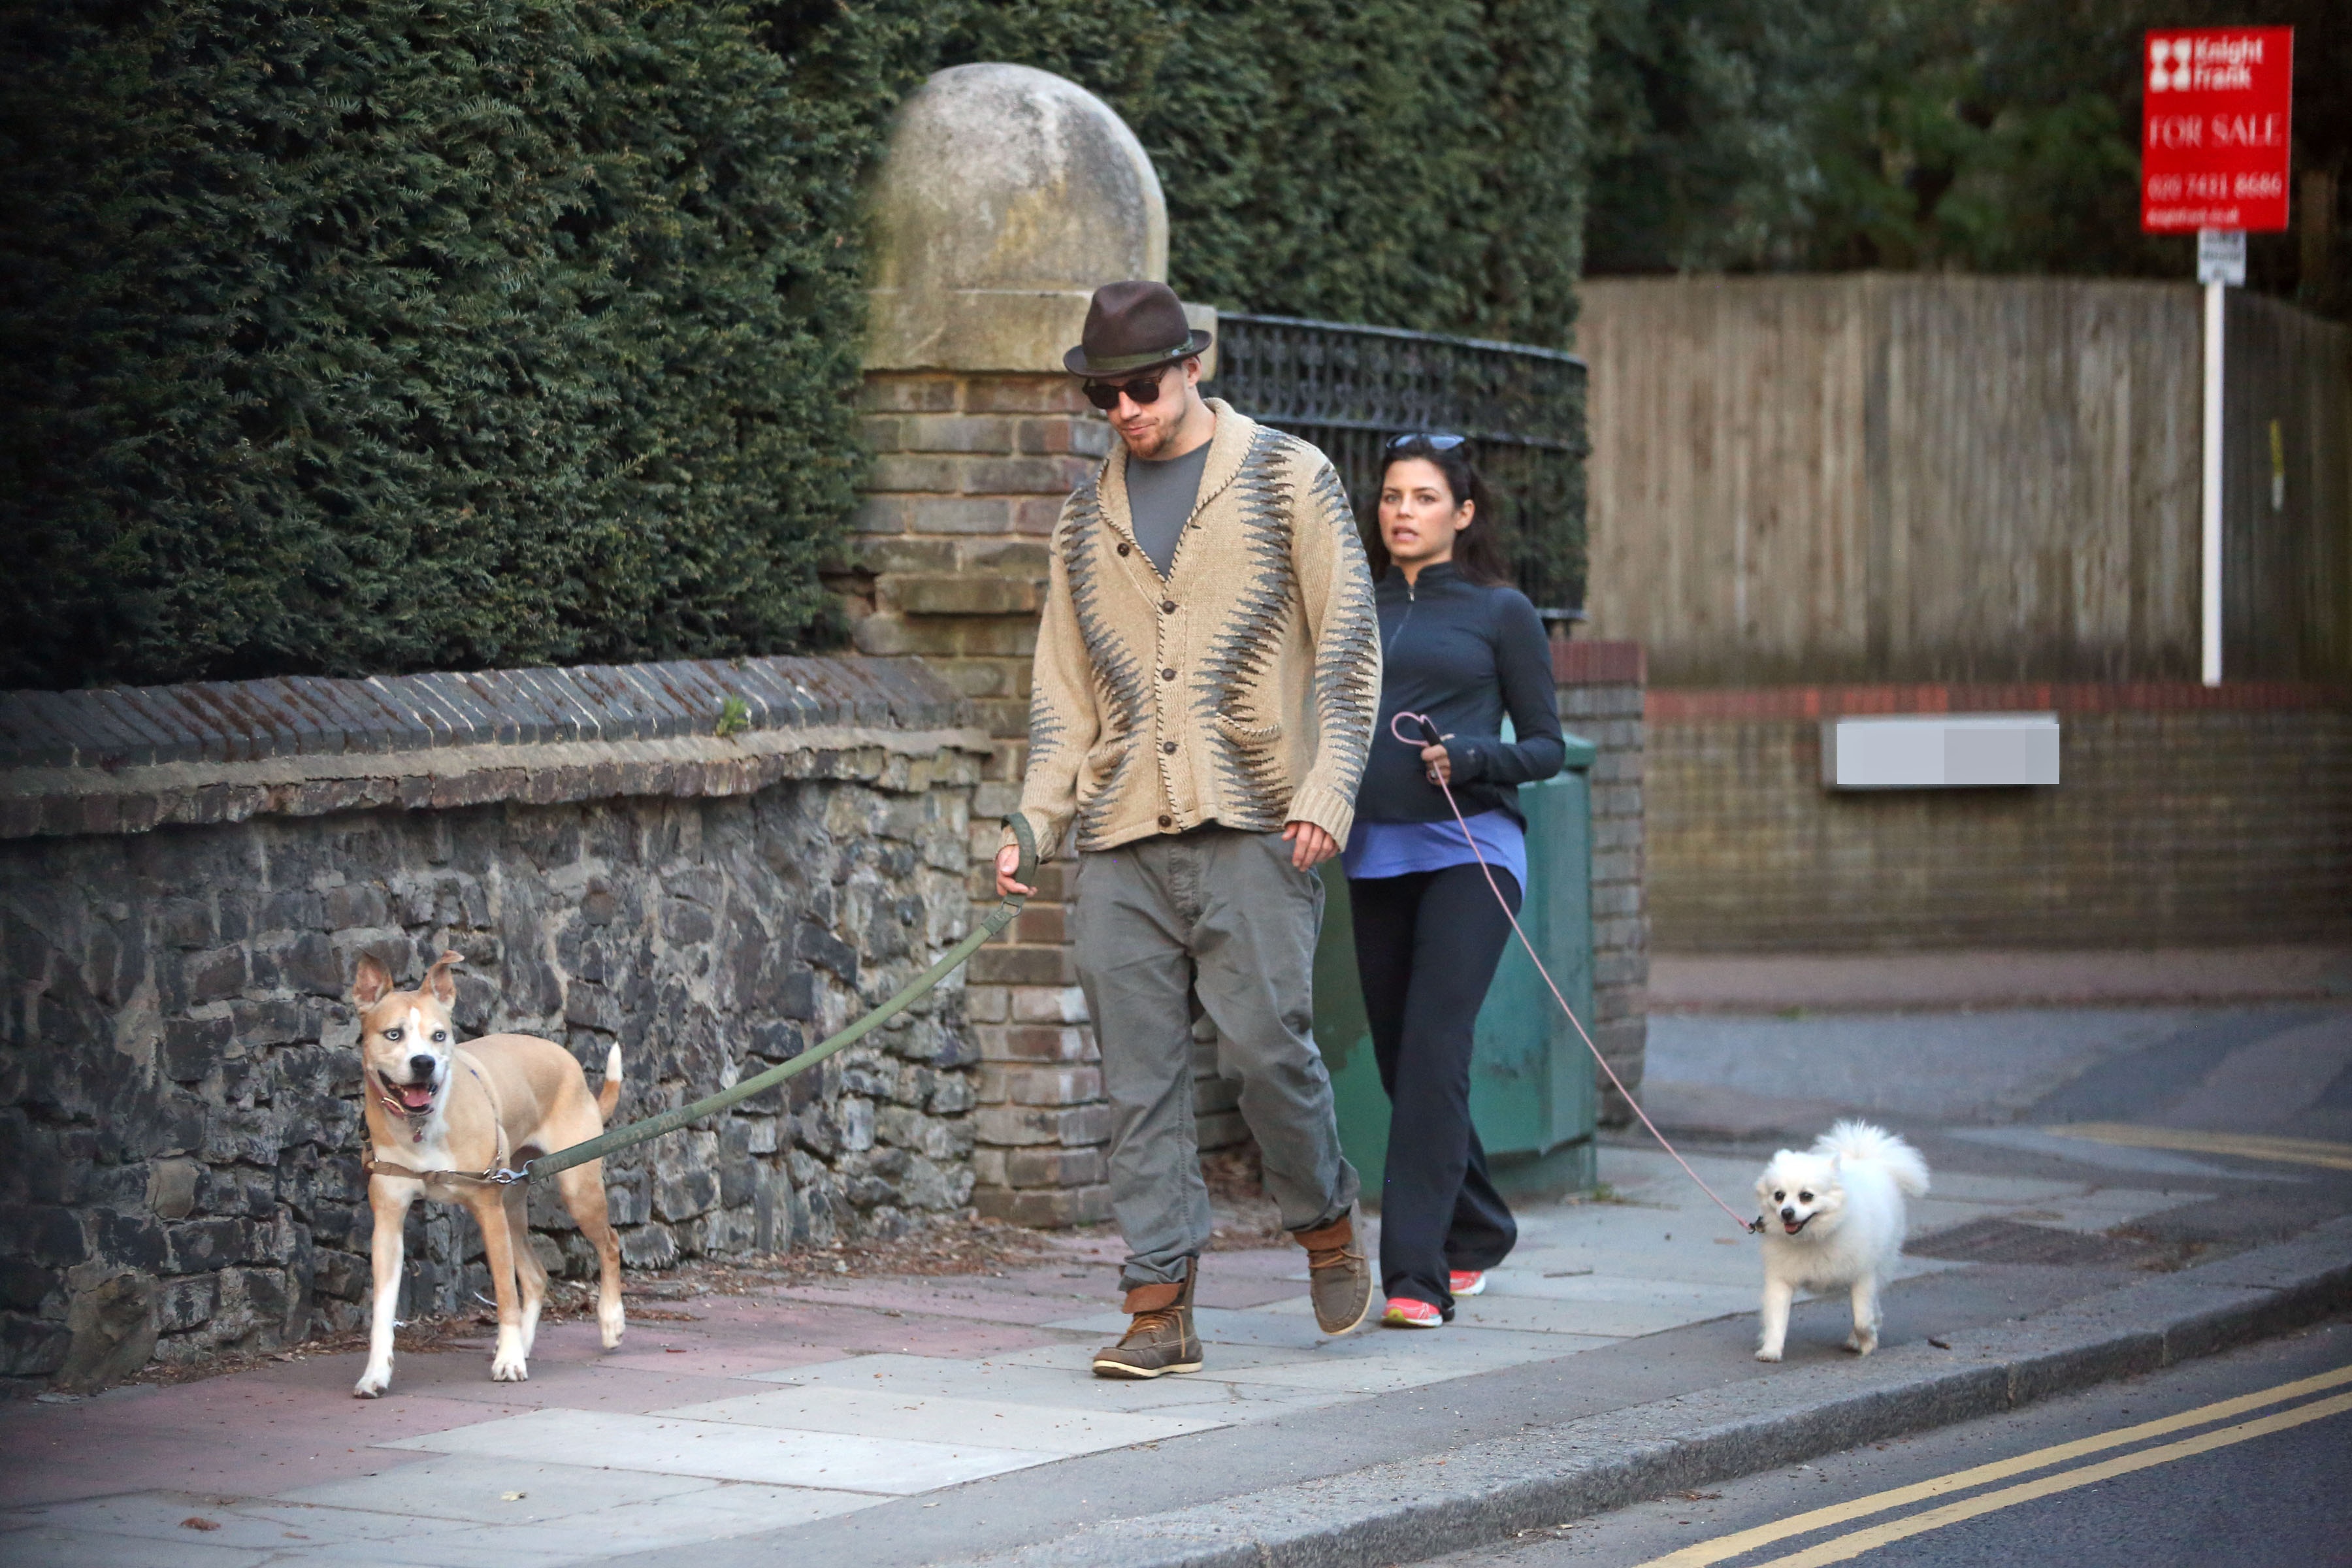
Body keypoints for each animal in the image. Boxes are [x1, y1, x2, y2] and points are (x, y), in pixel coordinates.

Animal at [348, 949, 625, 1392]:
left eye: (439, 1035)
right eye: (393, 1035)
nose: (423, 1063)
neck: (424, 1126)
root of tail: (570, 1062)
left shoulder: (488, 1212)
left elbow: (506, 1296)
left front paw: (508, 1362)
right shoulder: (388, 1222)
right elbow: (382, 1311)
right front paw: (375, 1374)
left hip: (574, 1189)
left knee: (610, 1243)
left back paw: (610, 1322)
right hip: (512, 1200)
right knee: (536, 1277)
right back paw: (525, 1344)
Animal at [1750, 1114, 1929, 1363]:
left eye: (1806, 1196)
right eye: (1779, 1196)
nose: (1786, 1212)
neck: (1814, 1236)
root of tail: (1865, 1159)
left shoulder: (1863, 1275)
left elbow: (1862, 1318)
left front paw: (1867, 1341)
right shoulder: (1781, 1278)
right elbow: (1777, 1318)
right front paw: (1771, 1350)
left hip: (1882, 1264)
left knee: (1874, 1305)